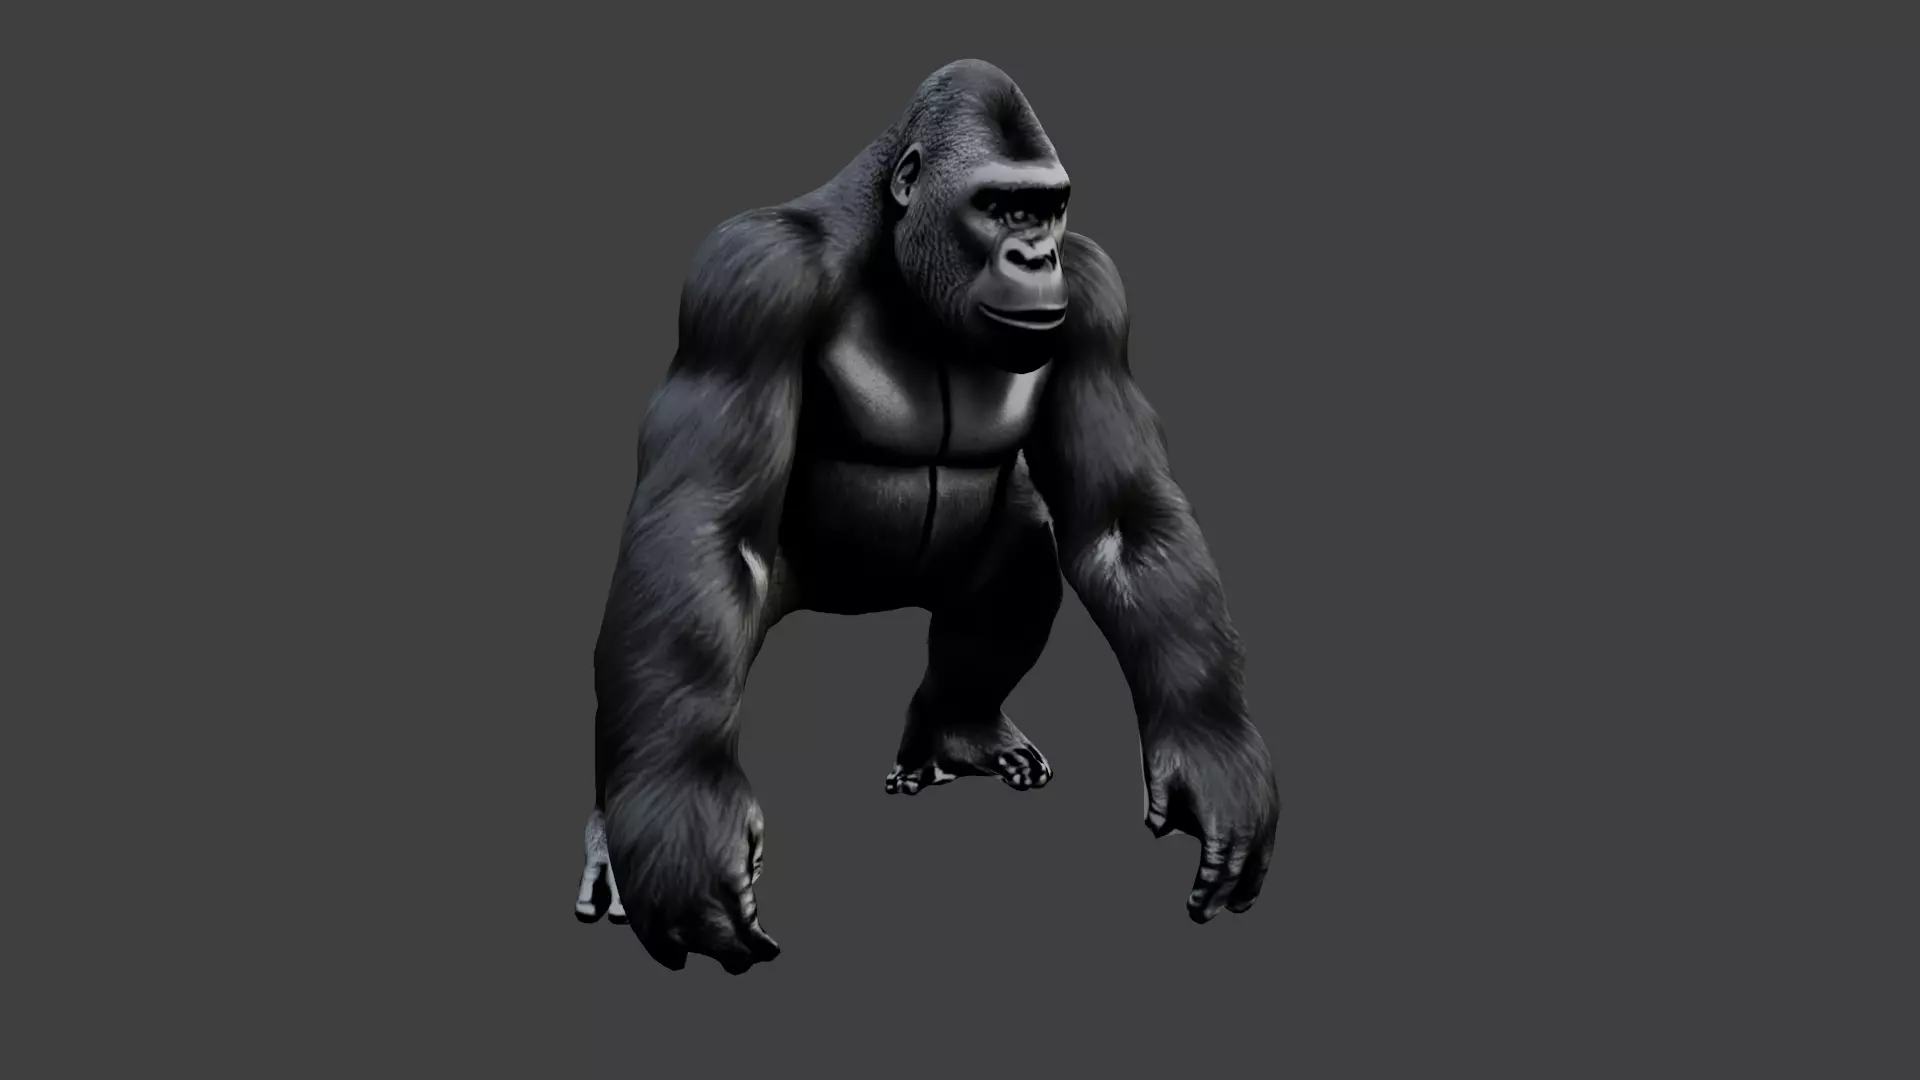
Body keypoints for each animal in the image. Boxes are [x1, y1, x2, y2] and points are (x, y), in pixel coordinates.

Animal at [572, 60, 1280, 975]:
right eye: (999, 206)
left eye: (1049, 207)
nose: (1035, 253)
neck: (894, 245)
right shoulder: (750, 278)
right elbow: (710, 534)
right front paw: (679, 827)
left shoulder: (1095, 292)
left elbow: (1123, 526)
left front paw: (1213, 760)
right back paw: (614, 834)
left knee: (1022, 548)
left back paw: (959, 733)